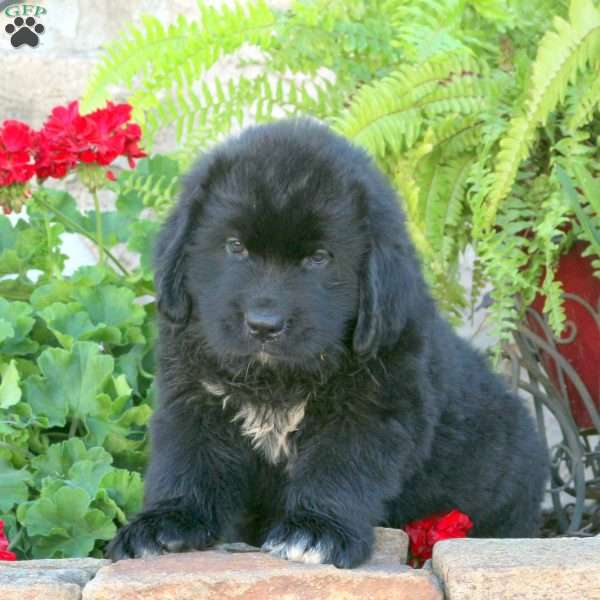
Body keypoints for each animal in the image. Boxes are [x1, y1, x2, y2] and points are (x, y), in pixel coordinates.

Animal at [108, 118, 548, 568]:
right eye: (235, 247)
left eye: (319, 258)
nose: (264, 325)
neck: (275, 383)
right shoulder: (194, 398)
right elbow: (188, 461)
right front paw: (167, 522)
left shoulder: (372, 410)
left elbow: (339, 469)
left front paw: (316, 530)